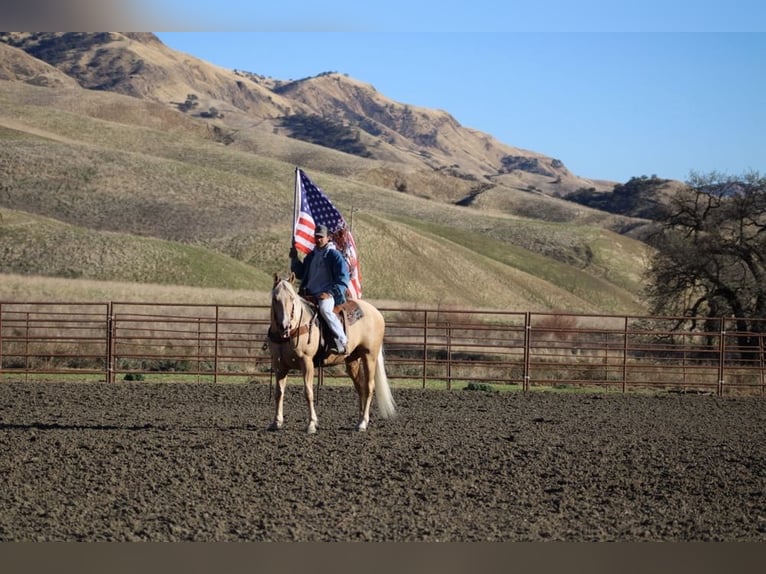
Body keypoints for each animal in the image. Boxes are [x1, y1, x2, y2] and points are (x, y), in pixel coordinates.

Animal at [267, 272, 396, 433]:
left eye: (292, 298)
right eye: (275, 298)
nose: (285, 326)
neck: (296, 327)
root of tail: (376, 312)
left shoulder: (306, 362)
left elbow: (308, 392)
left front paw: (311, 424)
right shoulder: (279, 364)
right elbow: (279, 392)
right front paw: (276, 422)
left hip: (369, 356)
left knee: (368, 387)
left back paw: (363, 423)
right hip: (352, 360)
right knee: (360, 387)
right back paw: (359, 420)